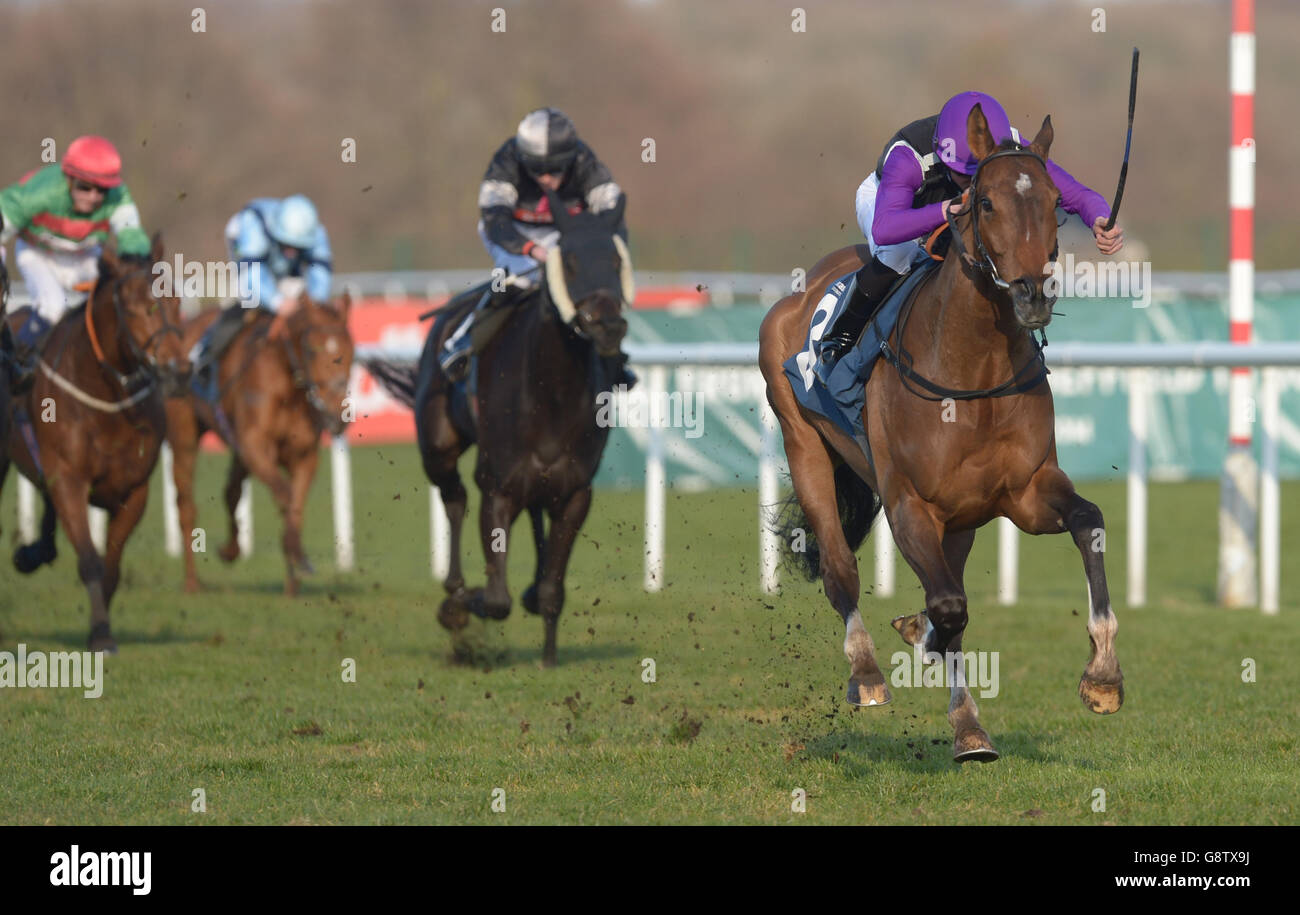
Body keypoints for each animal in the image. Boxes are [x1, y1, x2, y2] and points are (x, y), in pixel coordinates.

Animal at [0, 236, 189, 649]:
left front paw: (99, 625)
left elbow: (111, 565)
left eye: (175, 301)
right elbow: (89, 560)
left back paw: (33, 553)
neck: (109, 401)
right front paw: (101, 635)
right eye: (136, 308)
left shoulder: (134, 490)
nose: (179, 370)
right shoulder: (69, 480)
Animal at [167, 289, 361, 597]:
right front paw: (297, 556)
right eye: (312, 349)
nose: (336, 415)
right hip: (184, 434)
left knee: (230, 491)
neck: (287, 386)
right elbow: (284, 495)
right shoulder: (256, 446)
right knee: (186, 506)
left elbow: (295, 504)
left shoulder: (303, 455)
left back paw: (230, 549)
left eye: (351, 350)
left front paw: (293, 581)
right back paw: (192, 582)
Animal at [759, 107, 1123, 759]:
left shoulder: (1024, 491)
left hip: (963, 517)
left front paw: (1103, 674)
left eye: (1056, 201)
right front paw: (963, 716)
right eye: (986, 203)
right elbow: (951, 607)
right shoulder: (908, 503)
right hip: (804, 446)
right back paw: (867, 673)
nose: (1032, 295)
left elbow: (1090, 523)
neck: (973, 369)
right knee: (840, 569)